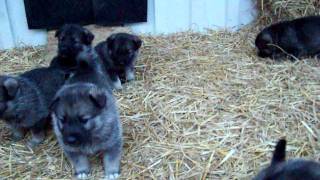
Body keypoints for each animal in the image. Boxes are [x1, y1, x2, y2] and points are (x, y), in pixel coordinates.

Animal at [50, 46, 122, 180]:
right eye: (62, 120)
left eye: (84, 120)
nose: (70, 140)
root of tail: (85, 68)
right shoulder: (72, 149)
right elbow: (80, 160)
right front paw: (82, 172)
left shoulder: (113, 142)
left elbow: (111, 159)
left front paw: (111, 173)